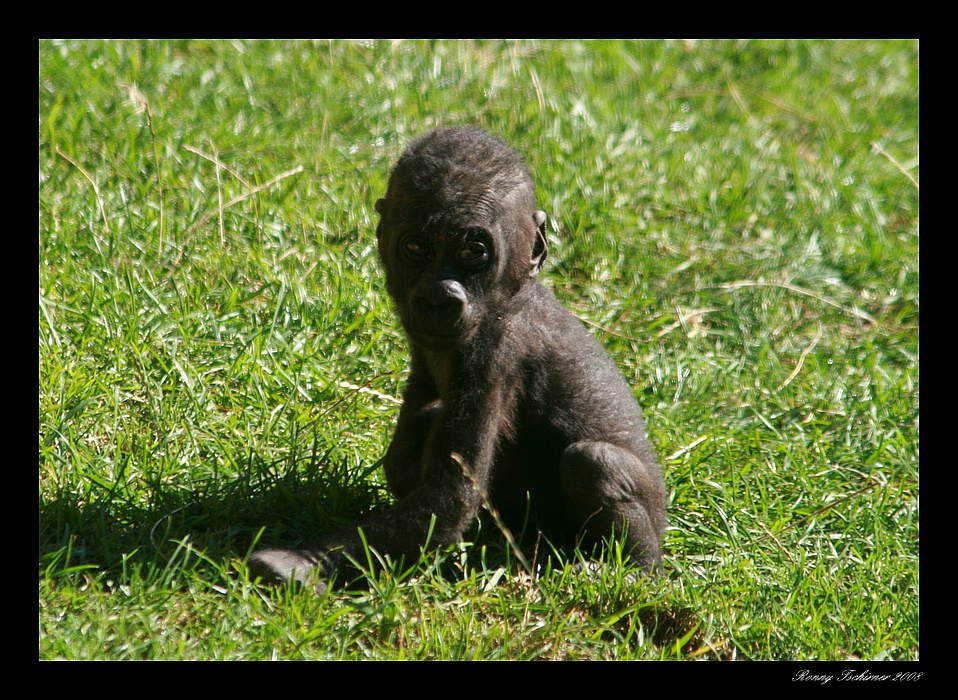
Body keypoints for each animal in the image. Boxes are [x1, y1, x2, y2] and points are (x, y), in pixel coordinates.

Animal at [248, 126, 668, 592]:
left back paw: (634, 568)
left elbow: (448, 497)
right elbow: (409, 452)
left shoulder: (497, 350)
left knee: (594, 462)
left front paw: (301, 562)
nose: (437, 299)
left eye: (474, 253)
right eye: (416, 246)